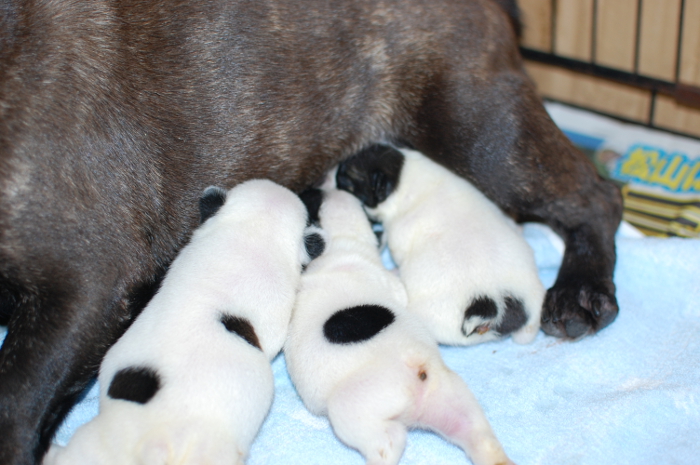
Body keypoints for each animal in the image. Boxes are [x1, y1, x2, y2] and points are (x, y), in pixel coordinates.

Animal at [284, 187, 516, 464]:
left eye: (308, 198)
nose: (316, 187)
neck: (344, 238)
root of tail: (416, 371)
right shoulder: (389, 282)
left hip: (354, 405)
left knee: (387, 441)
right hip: (452, 396)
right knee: (476, 431)